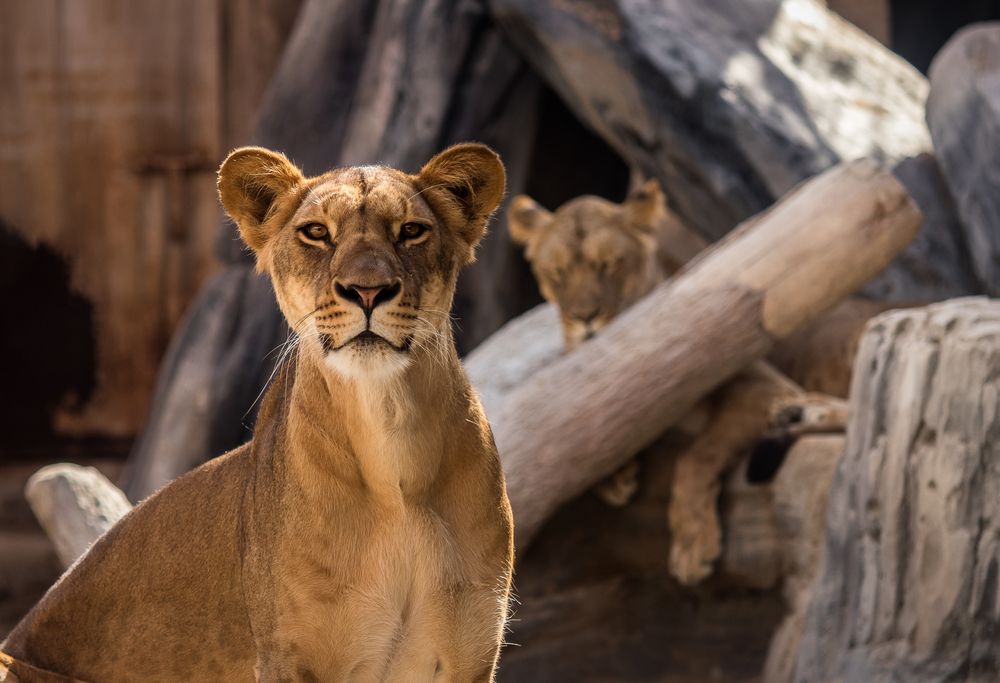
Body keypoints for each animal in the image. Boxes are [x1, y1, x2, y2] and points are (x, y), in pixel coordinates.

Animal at [1, 144, 514, 682]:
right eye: (317, 232)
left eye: (411, 230)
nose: (368, 291)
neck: (390, 431)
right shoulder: (290, 658)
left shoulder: (471, 655)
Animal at [508, 180, 858, 585]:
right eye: (556, 272)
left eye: (609, 264)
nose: (585, 318)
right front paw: (615, 475)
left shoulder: (765, 387)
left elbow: (697, 456)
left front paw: (693, 545)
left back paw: (803, 411)